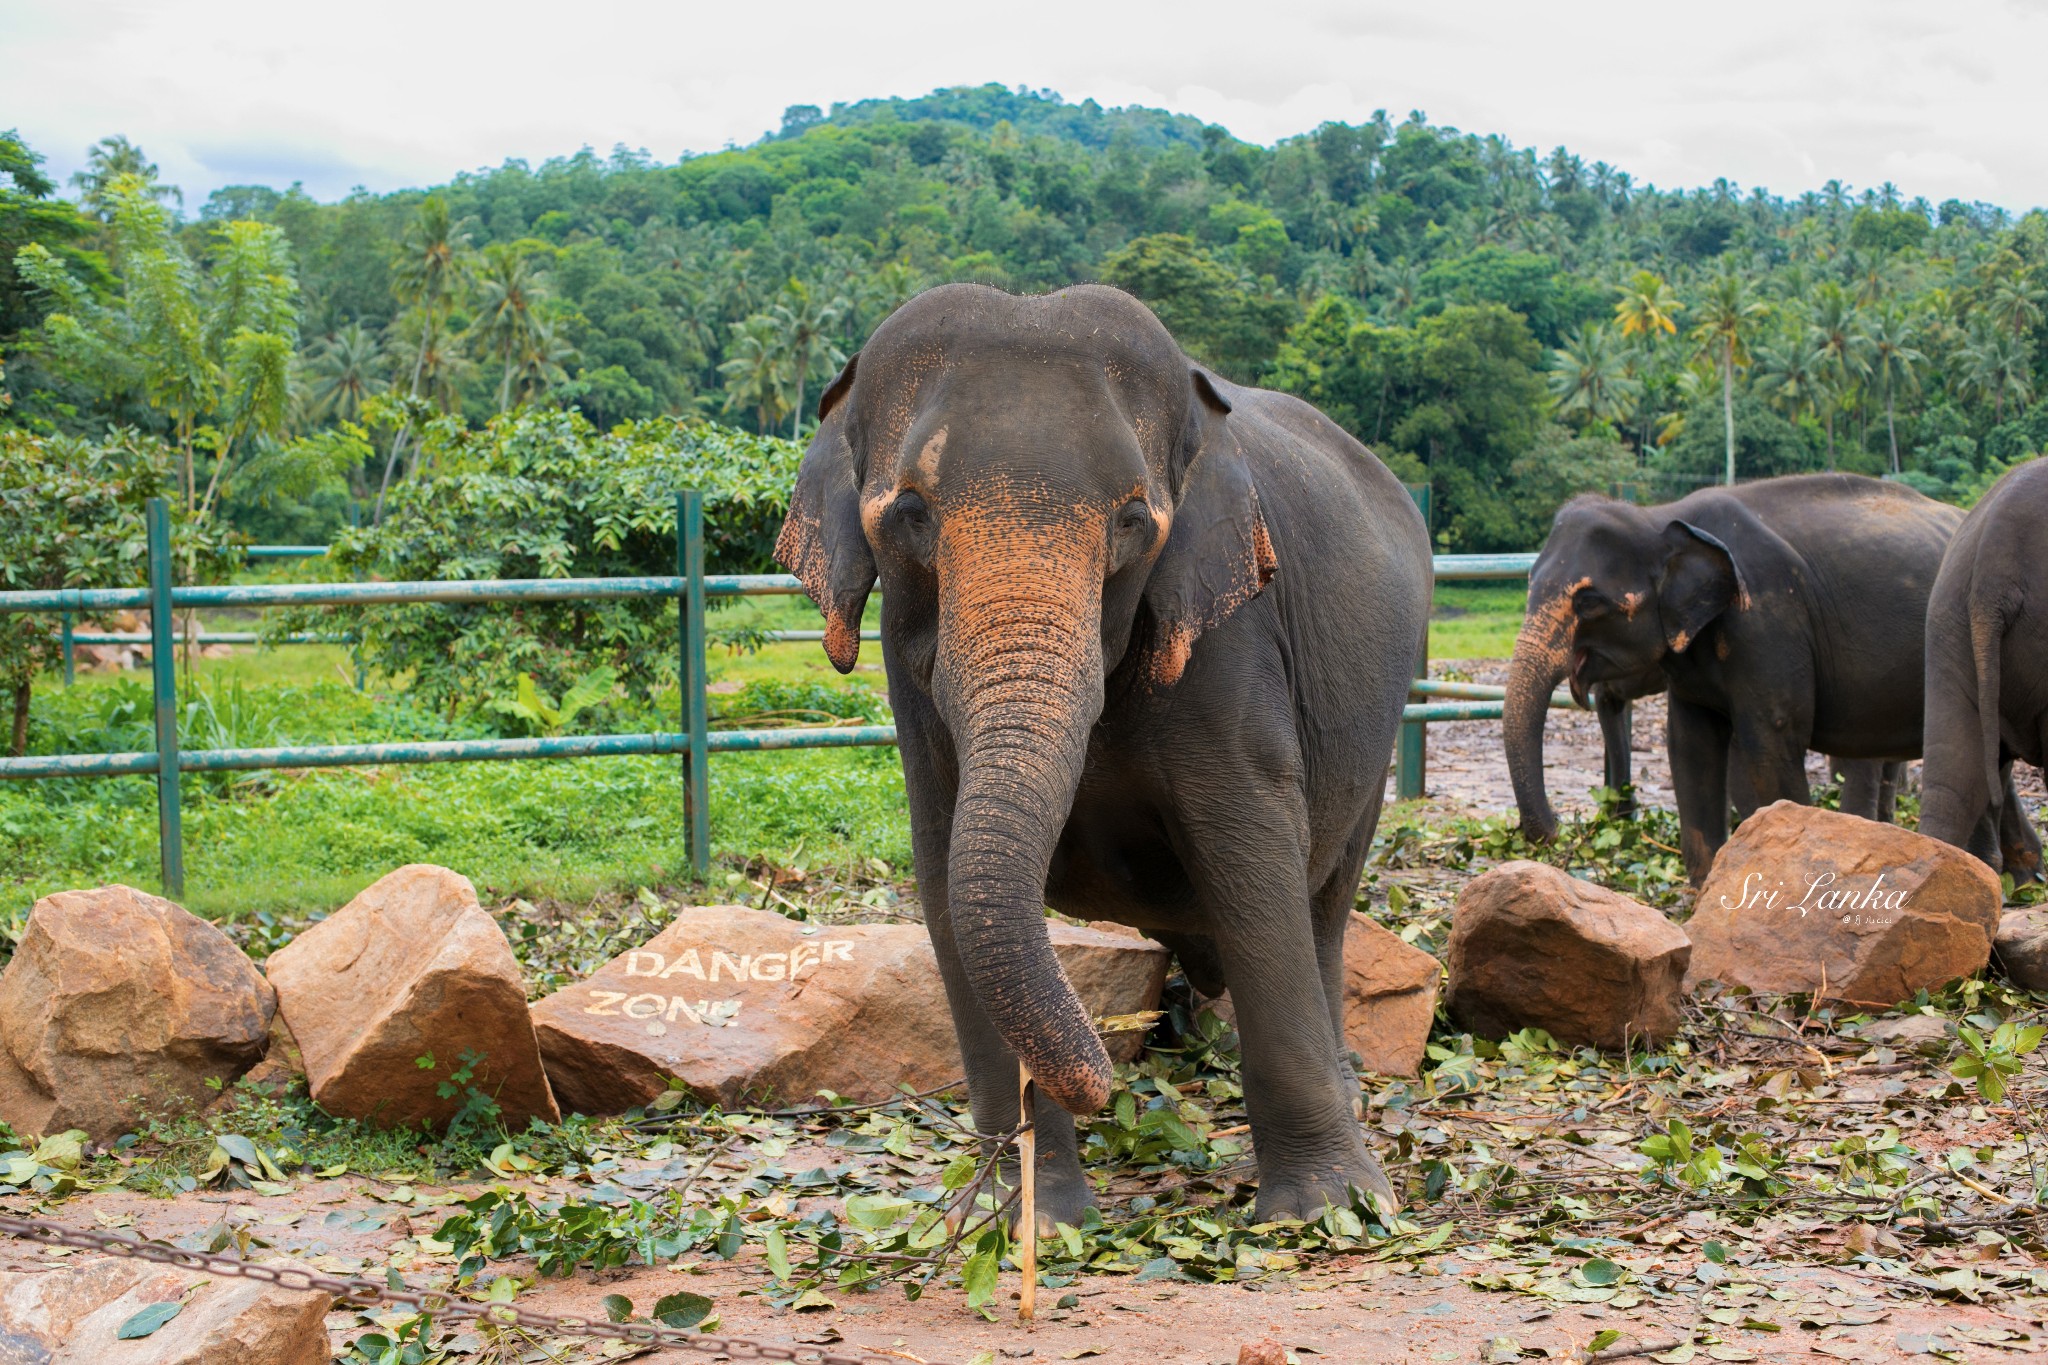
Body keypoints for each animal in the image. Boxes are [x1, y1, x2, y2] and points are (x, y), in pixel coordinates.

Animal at [774, 282, 1433, 1219]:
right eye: (909, 514)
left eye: (1132, 521)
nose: (1098, 1080)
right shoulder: (910, 685)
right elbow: (945, 881)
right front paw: (1032, 1216)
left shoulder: (1230, 635)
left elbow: (1252, 859)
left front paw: (1330, 1209)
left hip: (1379, 728)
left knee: (1324, 904)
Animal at [1507, 478, 1966, 888]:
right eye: (1528, 583)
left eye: (1589, 601)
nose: (1556, 827)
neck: (1659, 517)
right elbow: (1690, 746)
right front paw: (1703, 894)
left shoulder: (1768, 620)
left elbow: (1771, 742)